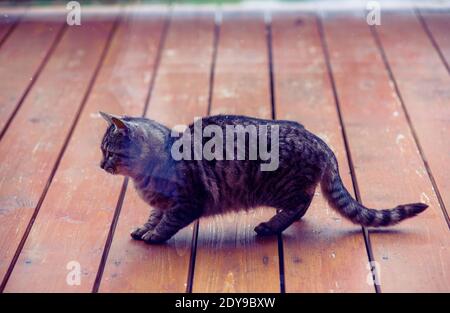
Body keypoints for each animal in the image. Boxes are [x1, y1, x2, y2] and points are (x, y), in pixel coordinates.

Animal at [99, 111, 428, 243]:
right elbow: (154, 216)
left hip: (279, 187)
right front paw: (145, 228)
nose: (101, 165)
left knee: (302, 203)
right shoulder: (163, 202)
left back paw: (271, 226)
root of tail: (321, 142)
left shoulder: (187, 202)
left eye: (109, 152)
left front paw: (154, 235)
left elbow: (167, 223)